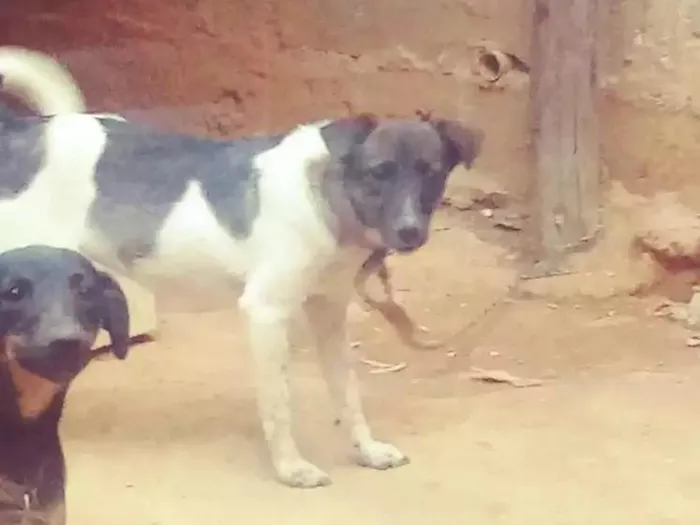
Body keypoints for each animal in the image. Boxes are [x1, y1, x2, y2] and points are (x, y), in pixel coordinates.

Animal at [0, 47, 482, 490]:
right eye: (379, 173)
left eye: (432, 174)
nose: (410, 233)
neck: (327, 194)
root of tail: (21, 132)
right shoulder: (266, 312)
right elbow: (279, 403)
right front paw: (292, 469)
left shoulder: (329, 312)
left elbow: (348, 393)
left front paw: (368, 451)